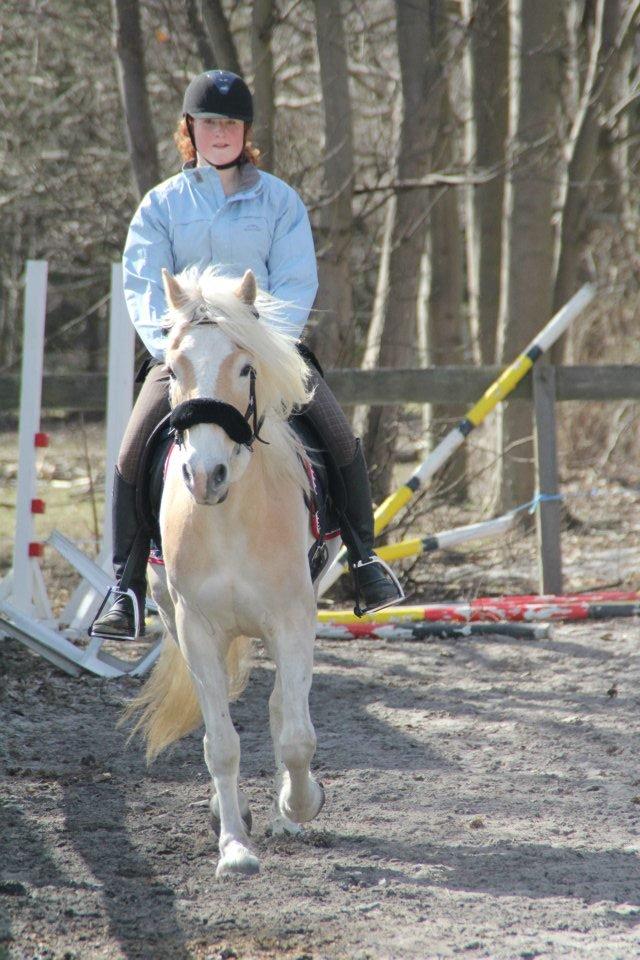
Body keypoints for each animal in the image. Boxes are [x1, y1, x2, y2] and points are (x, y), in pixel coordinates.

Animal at [122, 268, 338, 876]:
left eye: (246, 368)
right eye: (174, 369)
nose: (205, 475)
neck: (231, 516)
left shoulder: (292, 619)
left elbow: (295, 733)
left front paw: (299, 804)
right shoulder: (196, 628)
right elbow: (220, 743)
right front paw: (235, 846)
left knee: (283, 707)